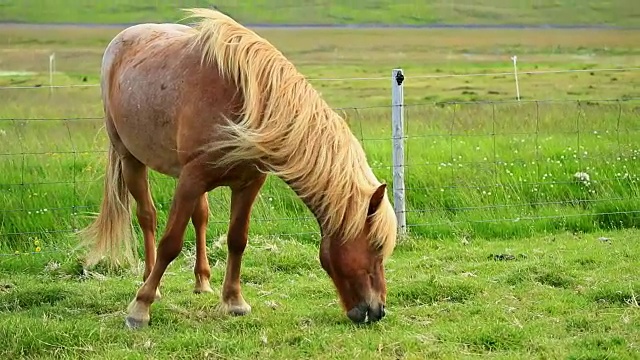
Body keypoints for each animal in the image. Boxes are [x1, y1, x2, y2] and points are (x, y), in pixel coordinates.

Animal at [78, 8, 398, 330]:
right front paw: (140, 307)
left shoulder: (247, 183)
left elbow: (237, 239)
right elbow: (171, 242)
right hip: (131, 159)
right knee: (148, 217)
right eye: (377, 247)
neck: (248, 105)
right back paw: (151, 285)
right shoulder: (192, 179)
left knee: (200, 217)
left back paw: (202, 282)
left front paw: (234, 301)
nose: (377, 311)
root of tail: (123, 39)